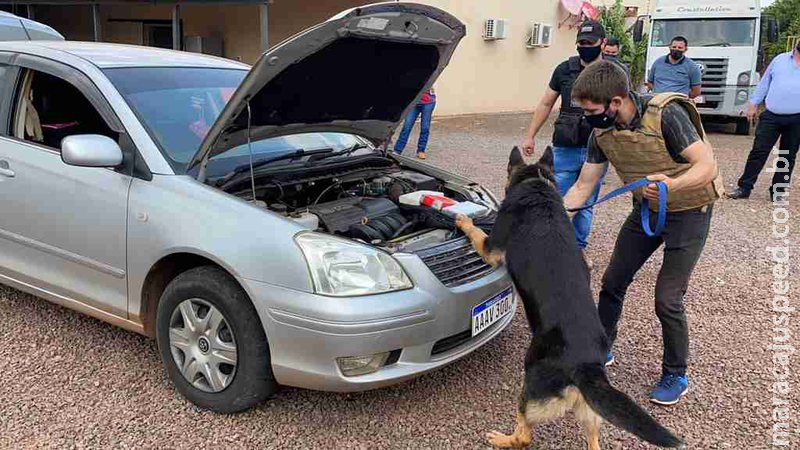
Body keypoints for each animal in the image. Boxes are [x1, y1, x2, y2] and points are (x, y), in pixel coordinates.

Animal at [454, 149, 684, 450]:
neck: (537, 185)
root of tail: (586, 366)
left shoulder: (490, 248)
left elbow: (475, 232)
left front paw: (462, 220)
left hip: (530, 386)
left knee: (525, 434)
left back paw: (503, 439)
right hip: (590, 412)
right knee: (593, 442)